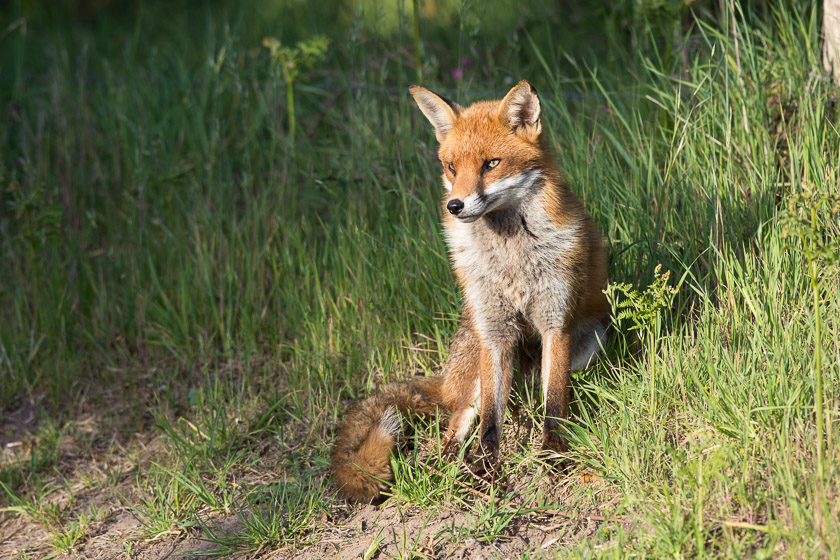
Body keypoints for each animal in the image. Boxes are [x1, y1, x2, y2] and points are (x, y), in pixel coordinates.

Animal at [330, 80, 612, 504]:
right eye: (452, 167)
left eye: (491, 164)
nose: (455, 205)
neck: (511, 256)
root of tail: (445, 377)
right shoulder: (494, 333)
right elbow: (490, 423)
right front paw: (487, 469)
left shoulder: (554, 322)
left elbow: (554, 405)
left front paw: (554, 459)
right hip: (478, 363)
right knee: (453, 432)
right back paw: (446, 468)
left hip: (591, 342)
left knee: (529, 400)